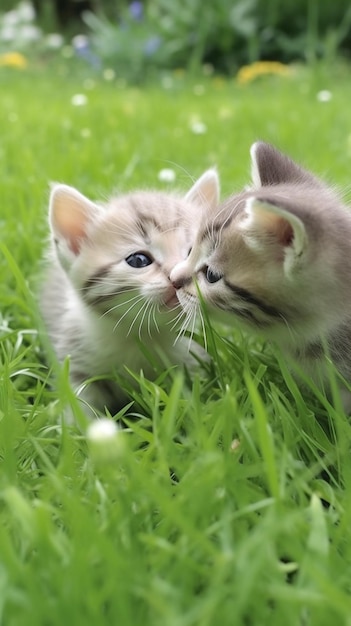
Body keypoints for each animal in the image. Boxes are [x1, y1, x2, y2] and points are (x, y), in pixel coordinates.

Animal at [40, 171, 219, 414]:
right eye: (138, 260)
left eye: (194, 253)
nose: (178, 279)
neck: (141, 334)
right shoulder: (76, 364)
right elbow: (80, 406)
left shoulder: (194, 359)